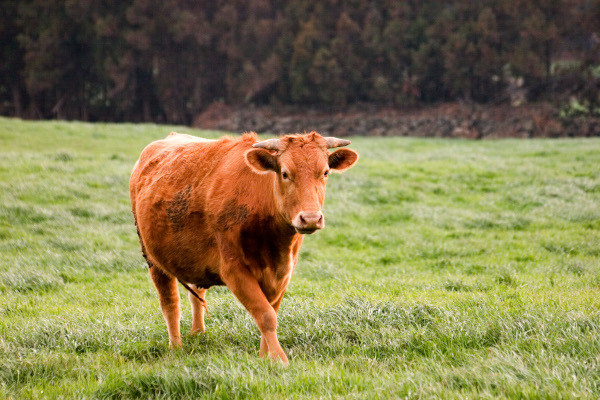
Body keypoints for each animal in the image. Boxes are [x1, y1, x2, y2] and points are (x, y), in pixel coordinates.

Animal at [129, 130, 358, 362]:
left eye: (325, 172)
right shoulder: (234, 270)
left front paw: (265, 356)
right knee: (170, 303)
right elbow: (266, 315)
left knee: (196, 294)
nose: (310, 218)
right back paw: (176, 347)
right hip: (153, 258)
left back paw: (198, 333)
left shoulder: (283, 272)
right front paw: (279, 359)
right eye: (285, 173)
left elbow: (271, 311)